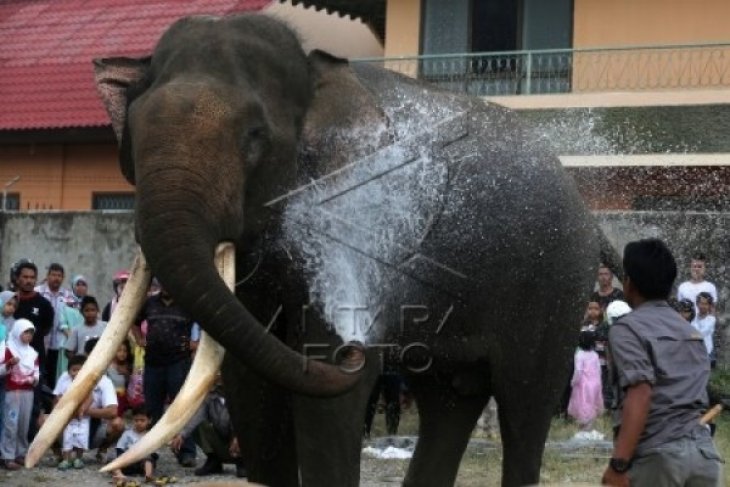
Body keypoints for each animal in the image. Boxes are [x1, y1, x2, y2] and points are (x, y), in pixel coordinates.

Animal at [86, 13, 608, 486]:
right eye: (133, 132)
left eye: (255, 137)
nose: (359, 350)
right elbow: (251, 385)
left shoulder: (359, 224)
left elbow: (323, 385)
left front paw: (343, 355)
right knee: (450, 399)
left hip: (555, 288)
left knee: (525, 403)